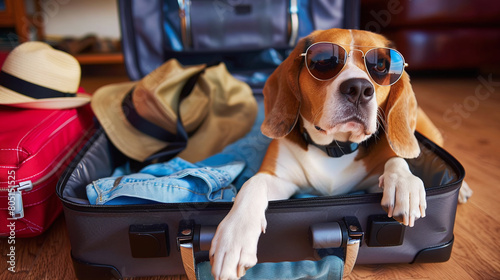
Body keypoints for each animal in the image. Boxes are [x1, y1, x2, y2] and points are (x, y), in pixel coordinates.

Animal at [209, 28, 470, 280]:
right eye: (325, 61)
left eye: (380, 65)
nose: (359, 89)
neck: (335, 148)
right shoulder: (279, 178)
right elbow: (252, 184)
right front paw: (234, 237)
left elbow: (396, 160)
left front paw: (404, 186)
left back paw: (461, 189)